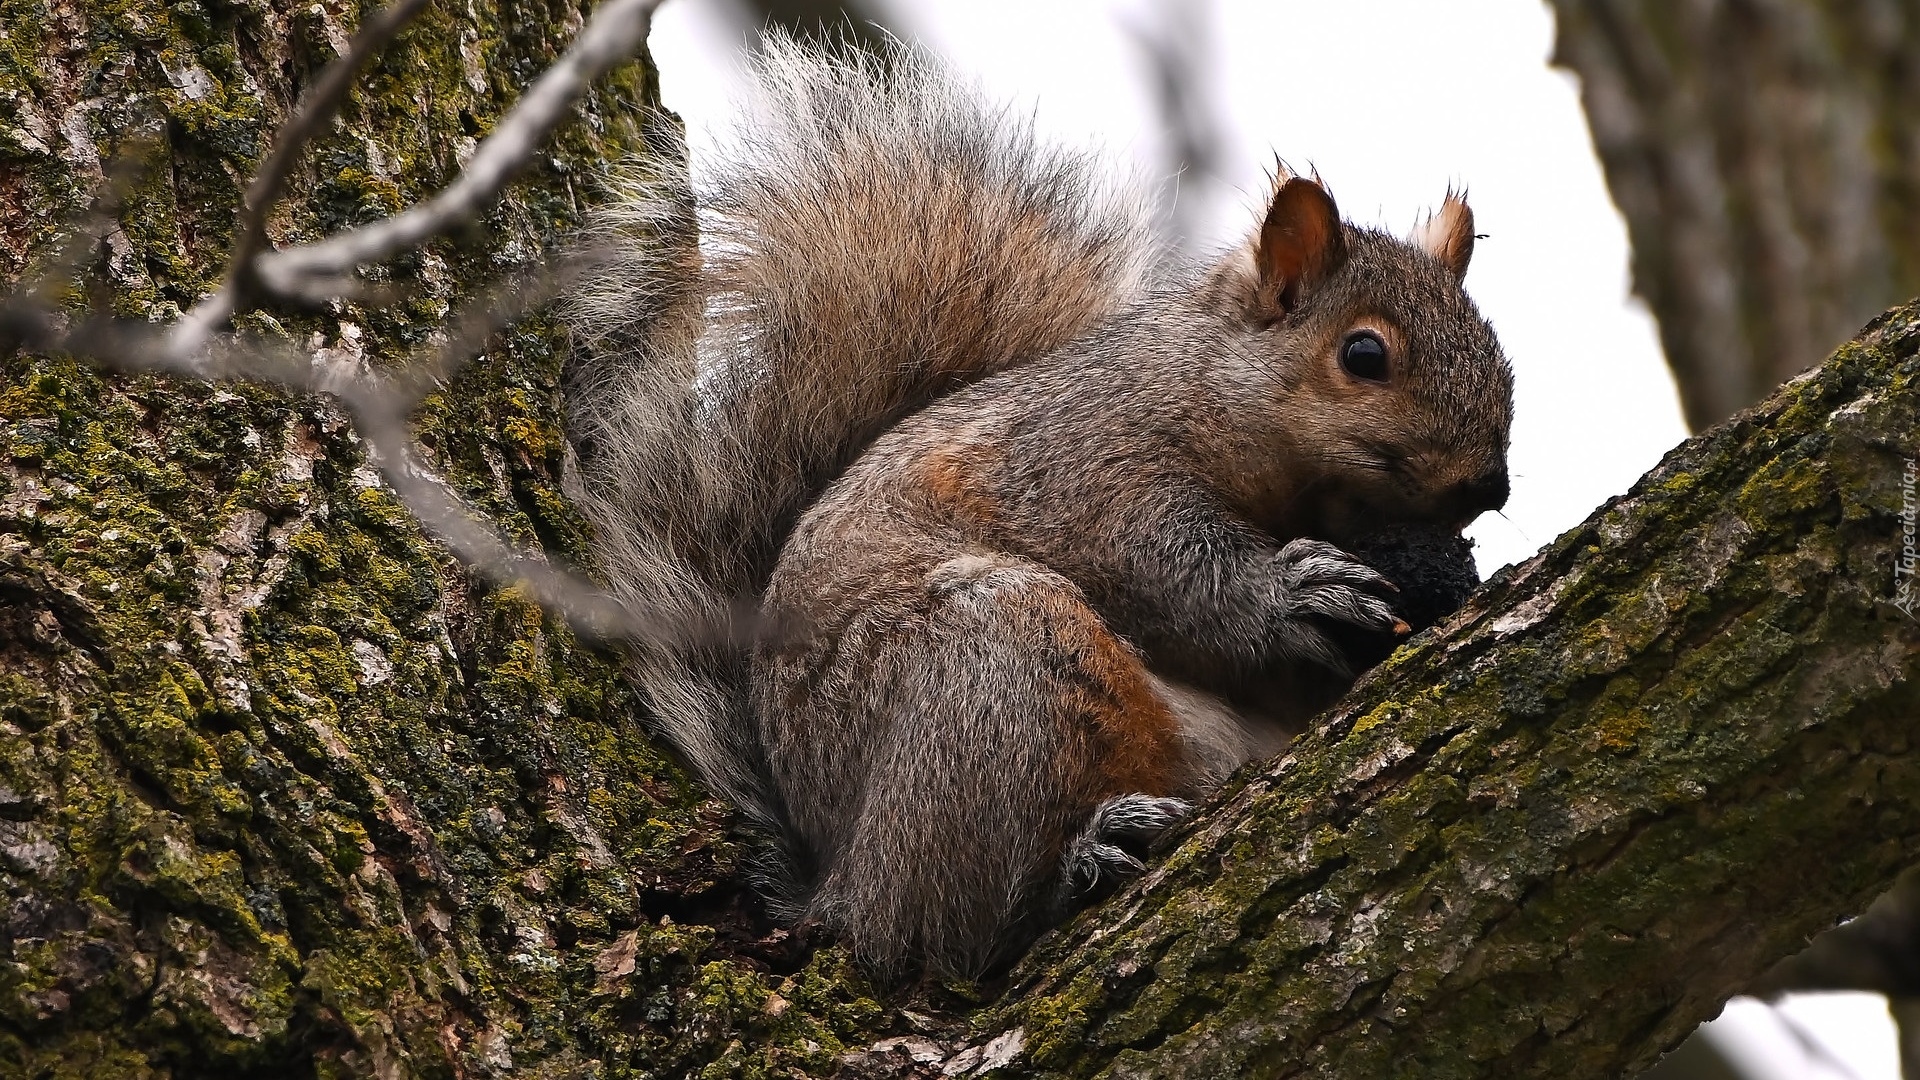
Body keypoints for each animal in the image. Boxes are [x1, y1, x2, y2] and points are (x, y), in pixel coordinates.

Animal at [560, 35, 1505, 976]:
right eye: (1364, 355)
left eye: (1497, 349)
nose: (1489, 488)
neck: (1203, 386)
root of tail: (834, 873)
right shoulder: (1085, 470)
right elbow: (1171, 573)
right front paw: (1293, 592)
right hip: (999, 676)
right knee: (928, 932)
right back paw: (1079, 864)